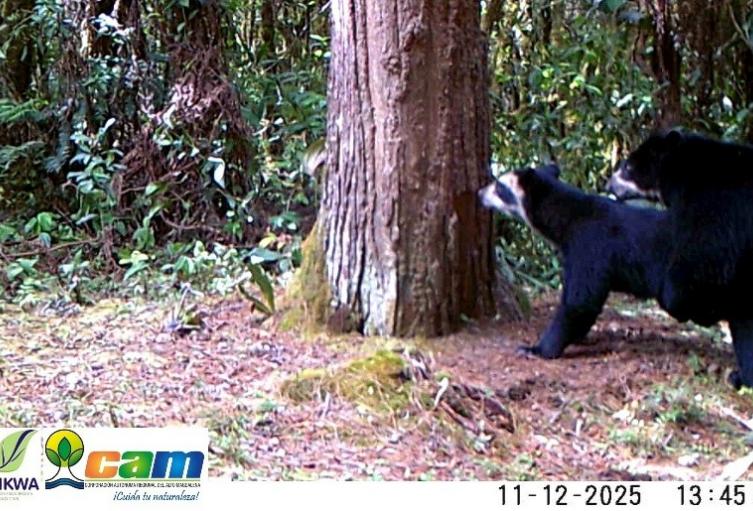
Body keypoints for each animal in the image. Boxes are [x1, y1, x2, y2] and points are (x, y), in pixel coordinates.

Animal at [478, 164, 672, 359]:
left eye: (499, 186)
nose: (479, 193)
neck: (567, 218)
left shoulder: (589, 246)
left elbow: (580, 300)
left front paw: (535, 349)